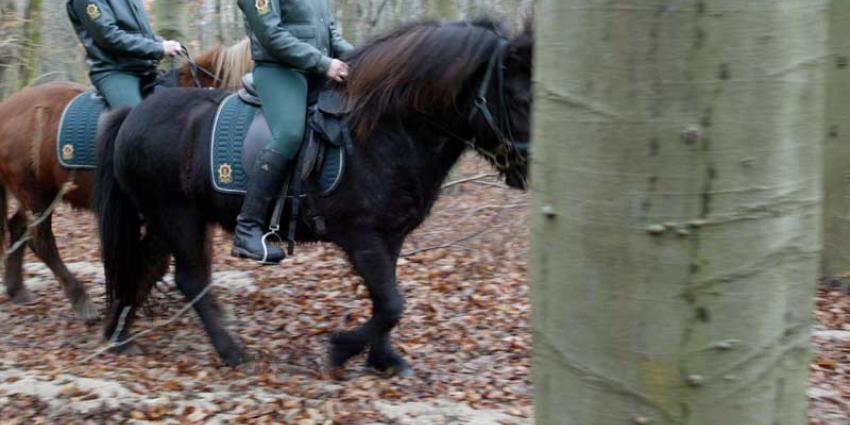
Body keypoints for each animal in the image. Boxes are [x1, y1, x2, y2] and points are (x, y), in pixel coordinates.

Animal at [0, 39, 252, 322]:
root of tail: (6, 108)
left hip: (37, 194)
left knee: (18, 227)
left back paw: (18, 290)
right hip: (37, 196)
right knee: (42, 243)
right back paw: (81, 301)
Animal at [93, 21, 528, 376]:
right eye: (519, 100)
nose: (526, 169)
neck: (383, 131)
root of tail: (132, 115)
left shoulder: (391, 237)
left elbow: (387, 301)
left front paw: (384, 359)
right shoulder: (360, 237)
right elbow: (391, 303)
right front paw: (341, 350)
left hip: (169, 220)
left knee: (145, 266)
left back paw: (121, 335)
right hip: (178, 216)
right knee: (190, 278)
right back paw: (231, 352)